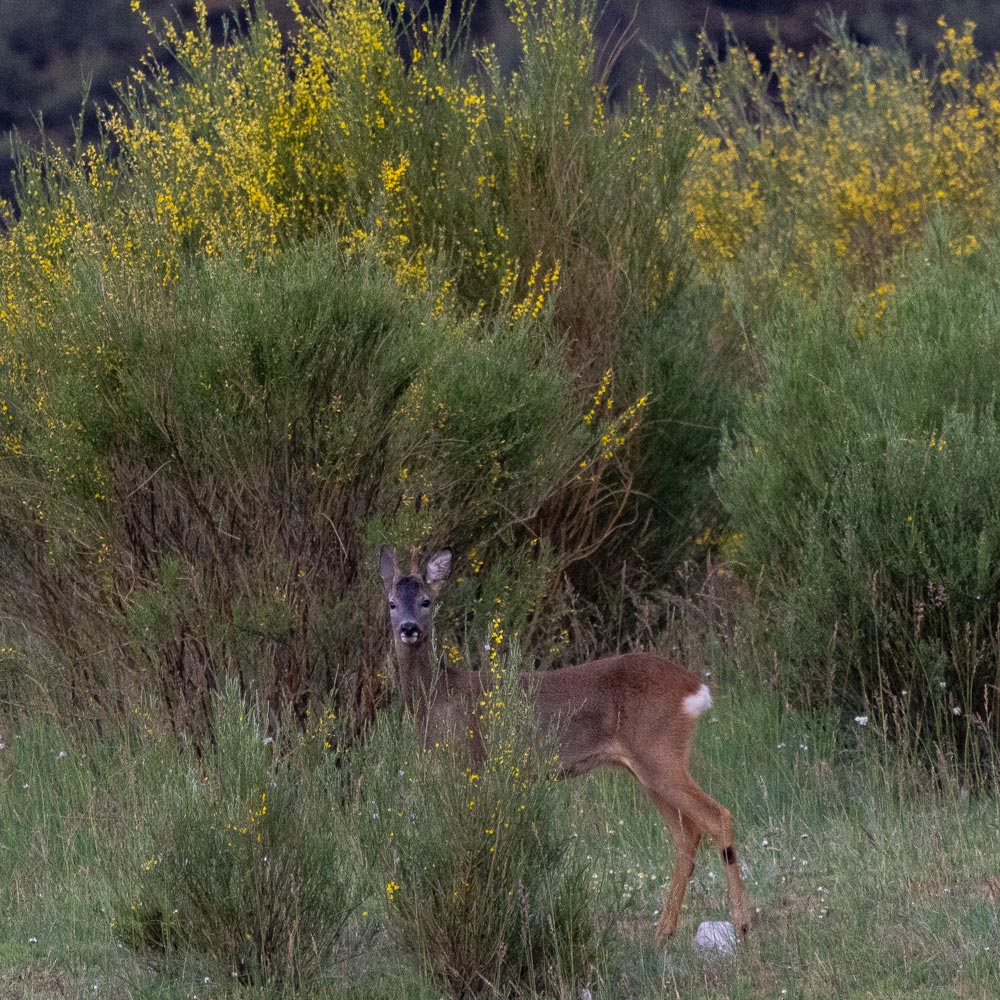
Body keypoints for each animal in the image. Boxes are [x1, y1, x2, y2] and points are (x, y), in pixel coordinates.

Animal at [378, 544, 751, 944]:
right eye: (391, 603)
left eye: (427, 601)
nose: (409, 629)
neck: (438, 699)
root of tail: (695, 688)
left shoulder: (470, 765)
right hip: (649, 768)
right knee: (687, 835)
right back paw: (662, 932)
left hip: (659, 753)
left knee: (718, 817)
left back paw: (741, 924)